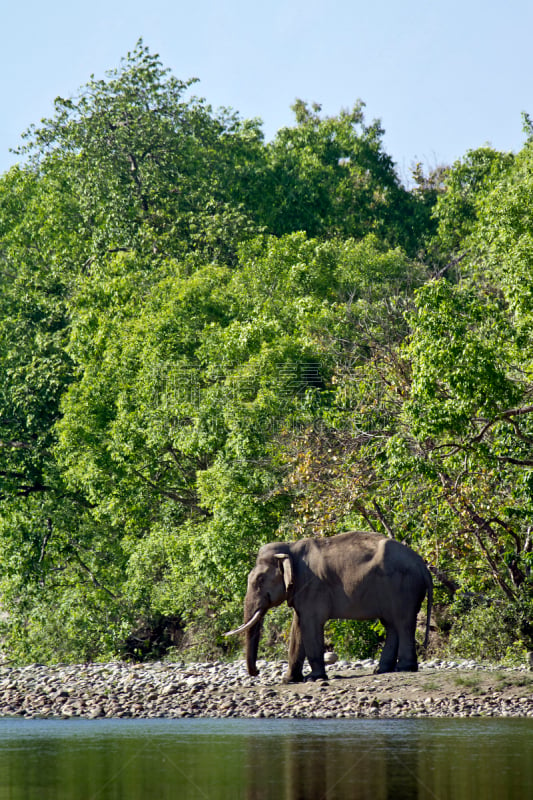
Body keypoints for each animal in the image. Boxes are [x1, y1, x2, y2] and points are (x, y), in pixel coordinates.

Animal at [224, 532, 432, 680]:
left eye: (259, 580)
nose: (257, 672)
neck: (290, 547)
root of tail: (423, 566)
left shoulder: (313, 586)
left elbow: (310, 624)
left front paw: (313, 678)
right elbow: (298, 627)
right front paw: (289, 680)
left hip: (403, 588)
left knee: (403, 623)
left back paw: (405, 668)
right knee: (391, 625)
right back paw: (381, 670)